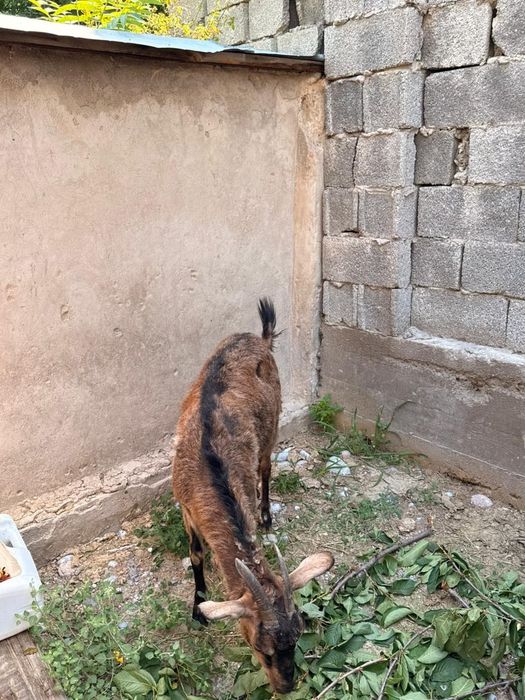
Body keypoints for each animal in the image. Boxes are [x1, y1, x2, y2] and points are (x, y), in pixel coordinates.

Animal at [172, 299, 334, 695]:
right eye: (262, 648)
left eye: (299, 636)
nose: (287, 686)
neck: (210, 474)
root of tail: (258, 338)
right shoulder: (185, 505)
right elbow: (196, 554)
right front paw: (198, 608)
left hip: (272, 422)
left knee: (266, 468)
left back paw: (266, 515)